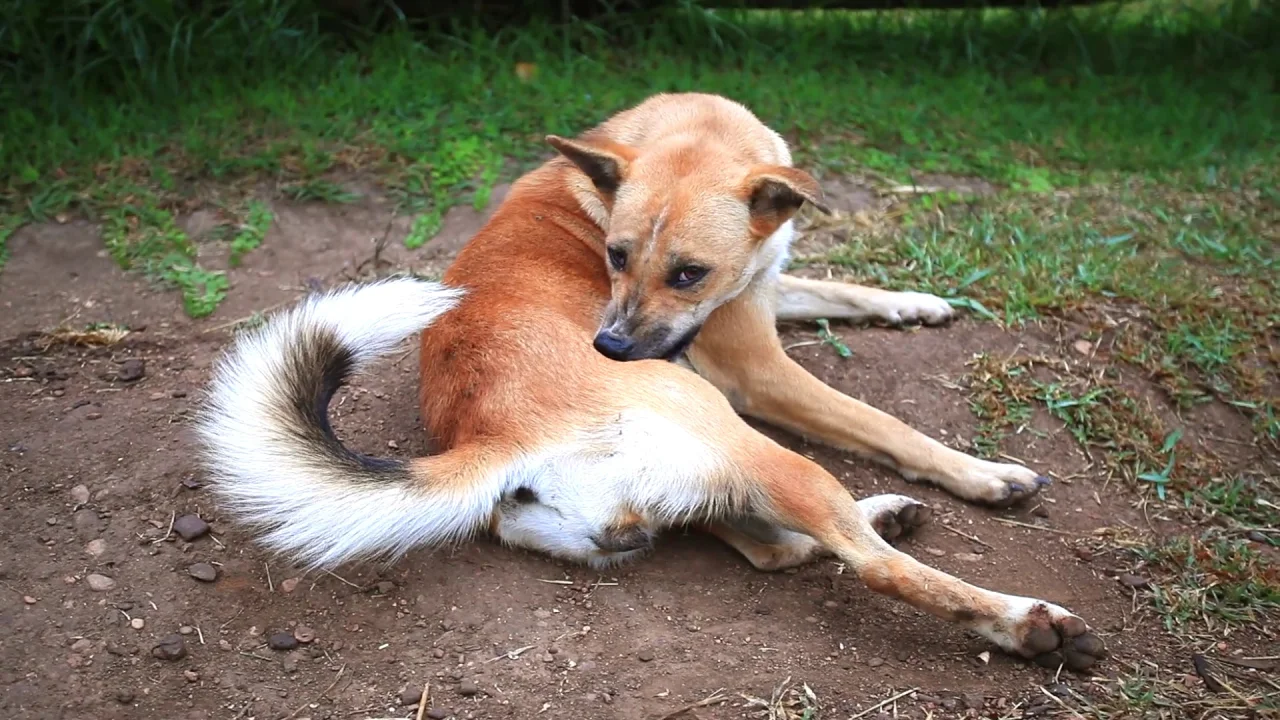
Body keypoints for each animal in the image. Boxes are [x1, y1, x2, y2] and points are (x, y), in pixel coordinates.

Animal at [194, 92, 1105, 671]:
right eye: (615, 255)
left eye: (687, 272)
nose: (609, 343)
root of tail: (495, 434)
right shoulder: (753, 366)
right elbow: (888, 425)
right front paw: (983, 475)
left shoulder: (759, 290)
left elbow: (841, 287)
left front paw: (915, 303)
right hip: (749, 439)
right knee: (868, 563)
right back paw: (1025, 623)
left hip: (700, 484)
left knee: (777, 549)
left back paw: (885, 512)